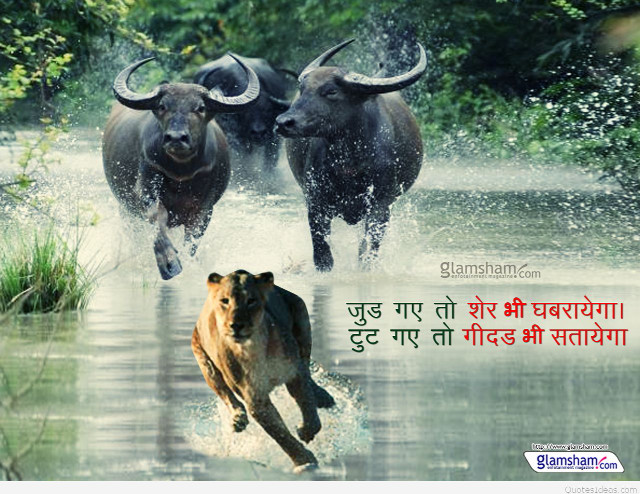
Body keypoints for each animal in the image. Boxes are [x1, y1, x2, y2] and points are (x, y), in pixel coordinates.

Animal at [102, 55, 260, 280]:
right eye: (162, 106)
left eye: (200, 108)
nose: (176, 138)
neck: (181, 172)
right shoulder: (146, 188)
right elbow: (157, 220)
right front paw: (169, 264)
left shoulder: (205, 207)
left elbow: (192, 239)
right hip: (125, 208)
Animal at [274, 39, 427, 271]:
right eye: (302, 89)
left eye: (331, 91)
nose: (284, 122)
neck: (350, 162)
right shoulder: (316, 201)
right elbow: (322, 253)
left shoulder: (381, 204)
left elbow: (367, 249)